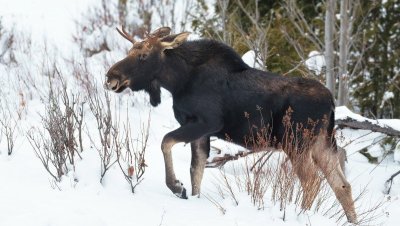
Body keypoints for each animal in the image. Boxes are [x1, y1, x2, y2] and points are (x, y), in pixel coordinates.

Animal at [104, 26, 358, 222]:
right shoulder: (201, 132)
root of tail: (331, 103)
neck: (177, 81)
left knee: (312, 182)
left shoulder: (206, 122)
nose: (110, 77)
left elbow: (166, 142)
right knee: (342, 185)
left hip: (296, 143)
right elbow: (196, 171)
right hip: (322, 143)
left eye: (144, 55)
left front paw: (177, 186)